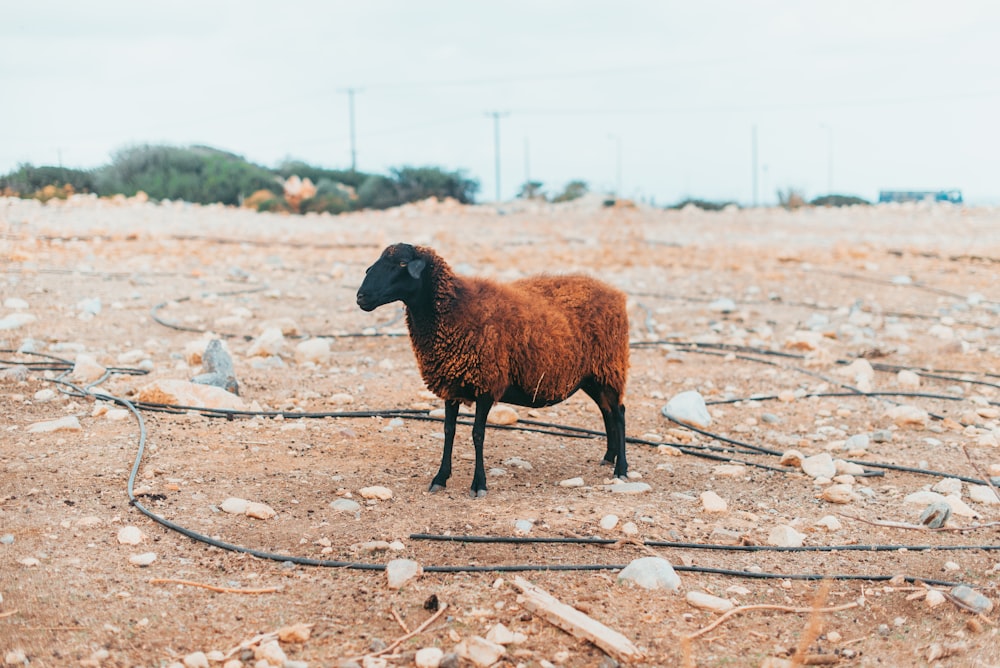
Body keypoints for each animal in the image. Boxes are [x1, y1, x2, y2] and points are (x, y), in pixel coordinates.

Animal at [356, 243, 628, 498]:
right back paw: (609, 457)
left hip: (610, 367)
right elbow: (448, 431)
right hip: (592, 376)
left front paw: (479, 484)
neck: (456, 308)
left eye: (402, 263)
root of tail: (616, 294)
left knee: (619, 413)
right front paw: (440, 478)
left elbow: (477, 434)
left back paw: (621, 469)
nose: (361, 296)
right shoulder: (451, 384)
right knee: (606, 411)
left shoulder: (486, 383)